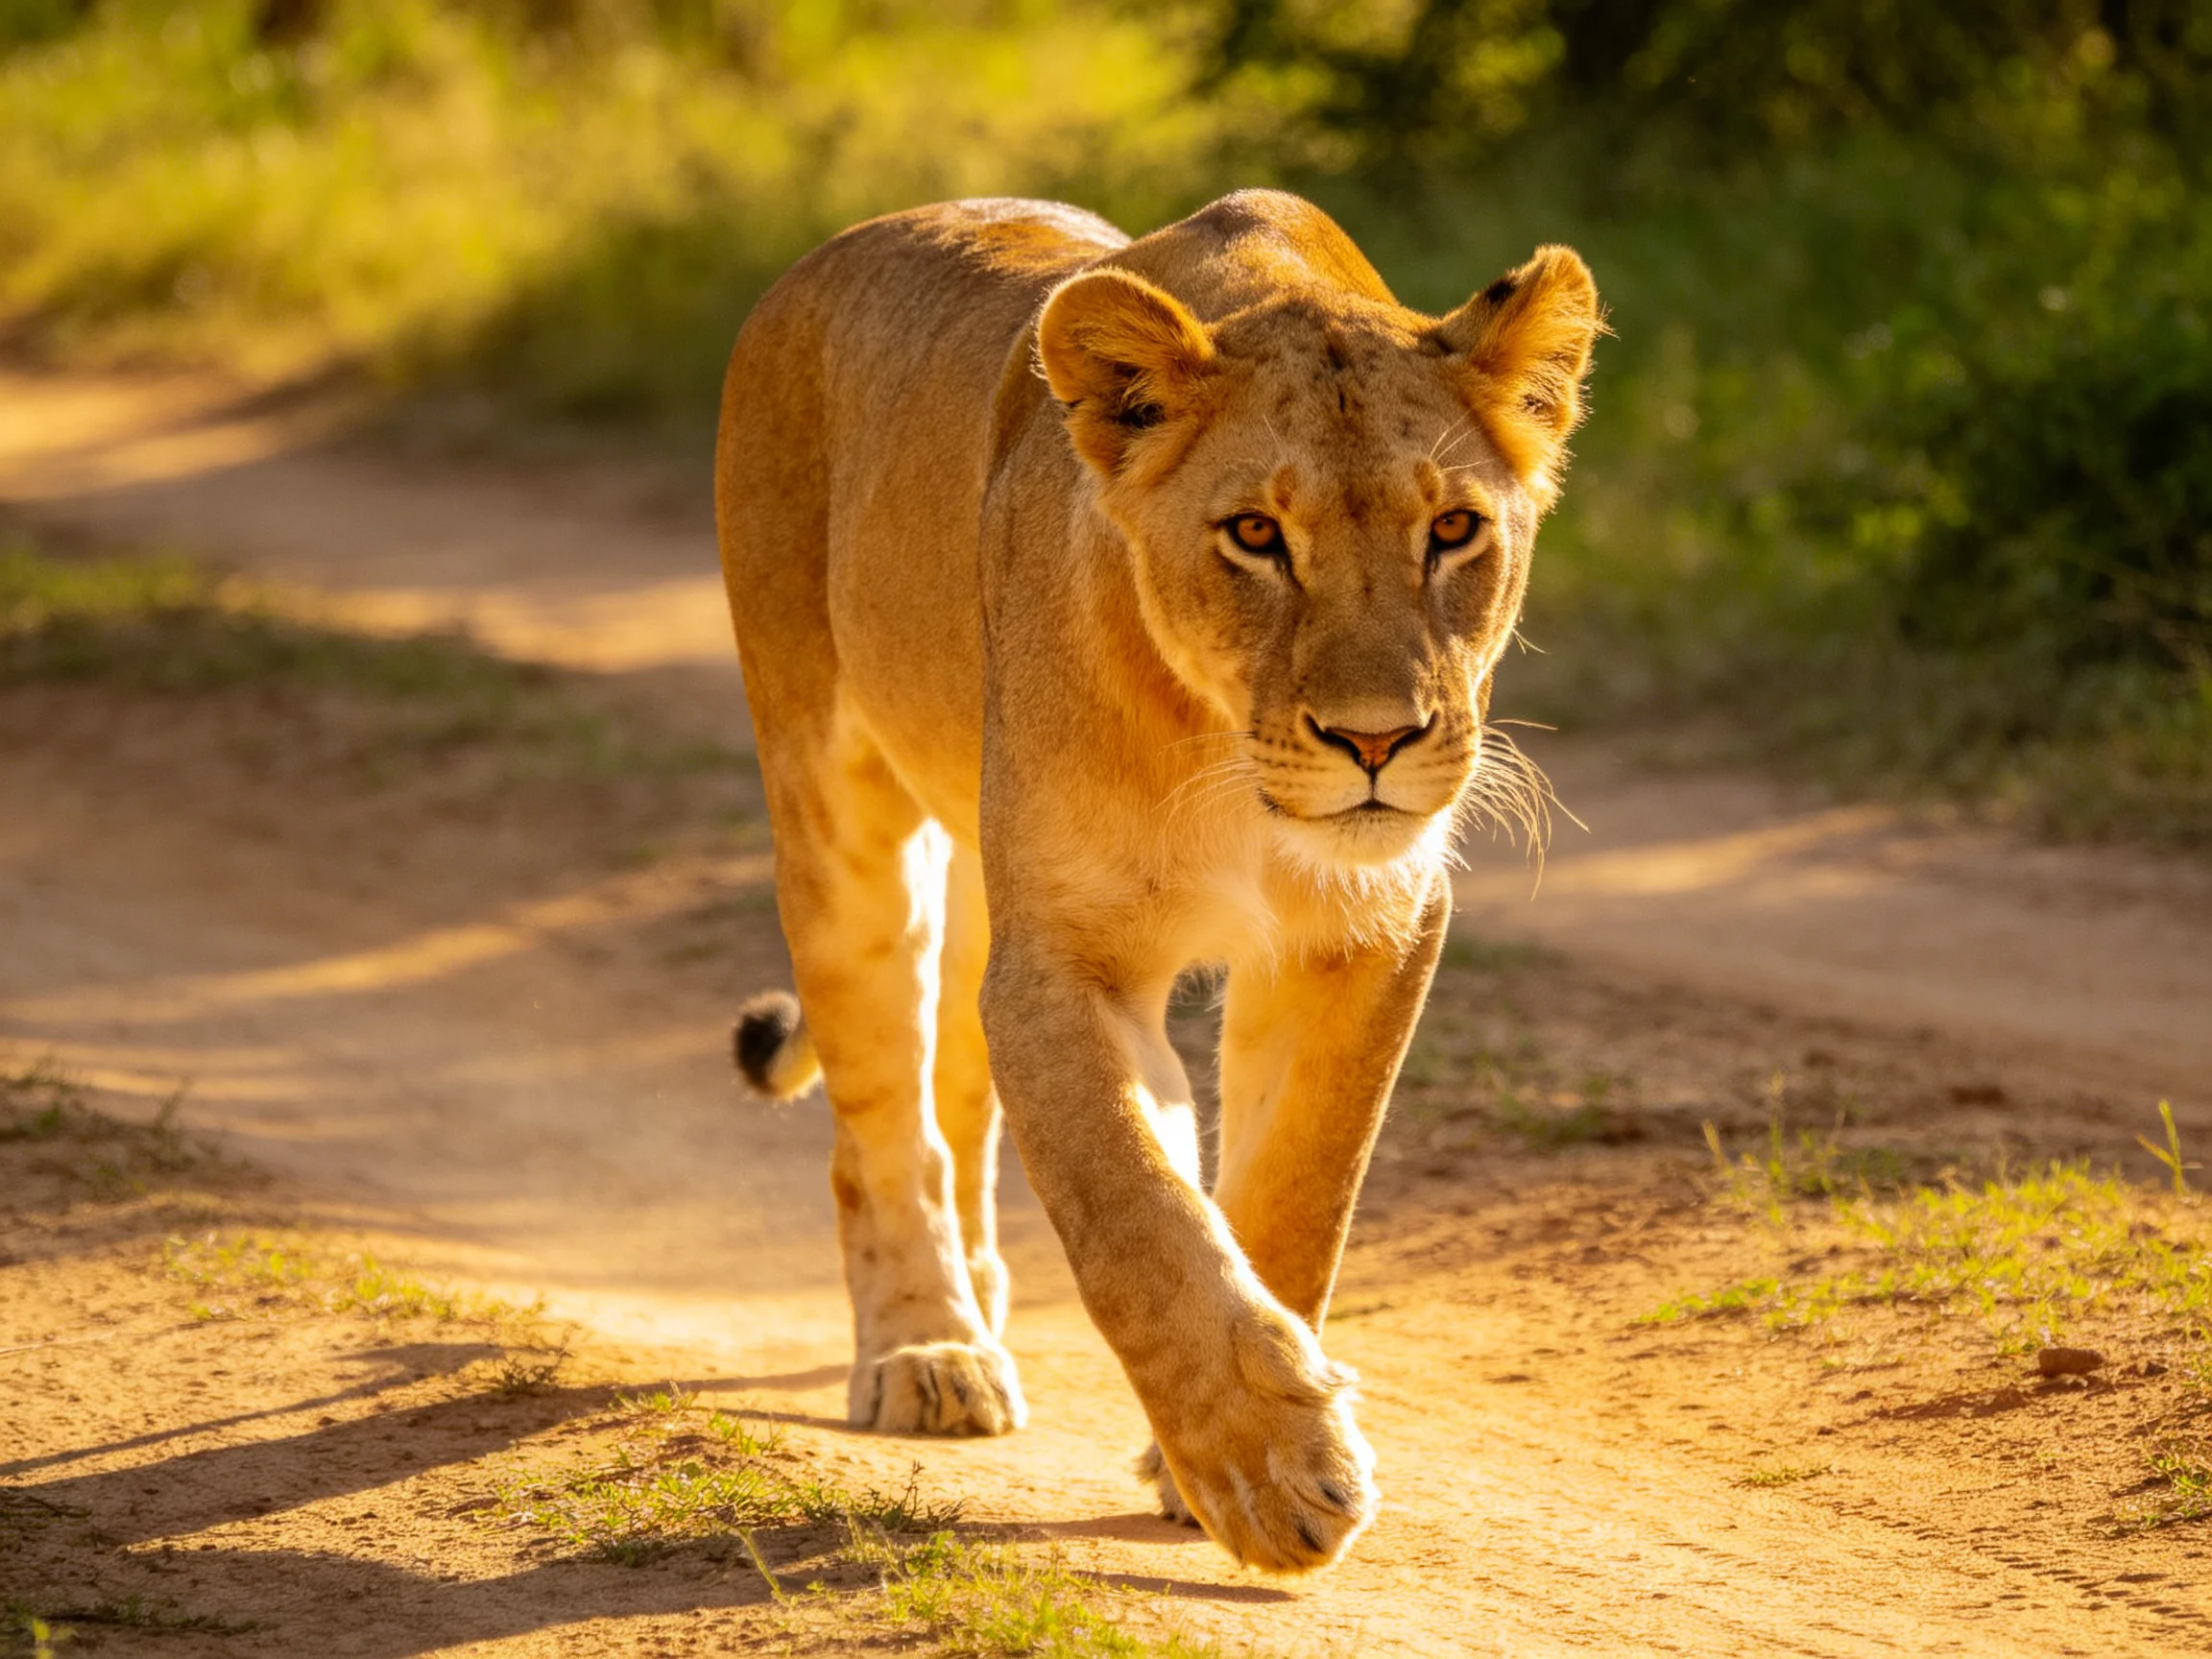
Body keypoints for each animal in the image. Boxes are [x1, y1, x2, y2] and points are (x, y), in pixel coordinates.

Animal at [713, 189, 1599, 1572]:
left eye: (1454, 530)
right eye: (1255, 536)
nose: (1376, 743)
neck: (1228, 761)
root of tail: (824, 256)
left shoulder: (1368, 932)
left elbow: (1289, 1193)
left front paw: (1218, 1460)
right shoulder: (1068, 961)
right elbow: (1135, 1207)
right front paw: (1270, 1471)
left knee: (961, 1096)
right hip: (837, 811)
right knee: (882, 1122)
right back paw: (928, 1349)